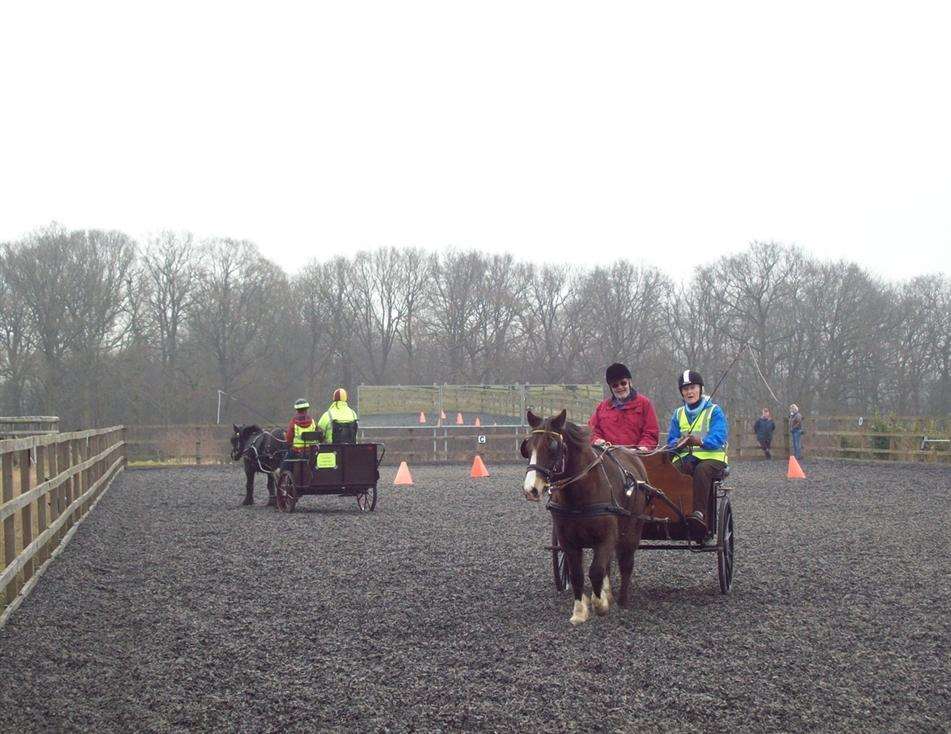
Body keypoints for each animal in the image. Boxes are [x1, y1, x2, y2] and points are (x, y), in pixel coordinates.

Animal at [524, 408, 652, 628]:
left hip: (632, 529)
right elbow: (577, 574)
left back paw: (622, 601)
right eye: (527, 446)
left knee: (626, 563)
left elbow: (596, 571)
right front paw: (580, 611)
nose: (530, 489)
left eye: (552, 446)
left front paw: (600, 604)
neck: (580, 494)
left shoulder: (606, 537)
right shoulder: (568, 541)